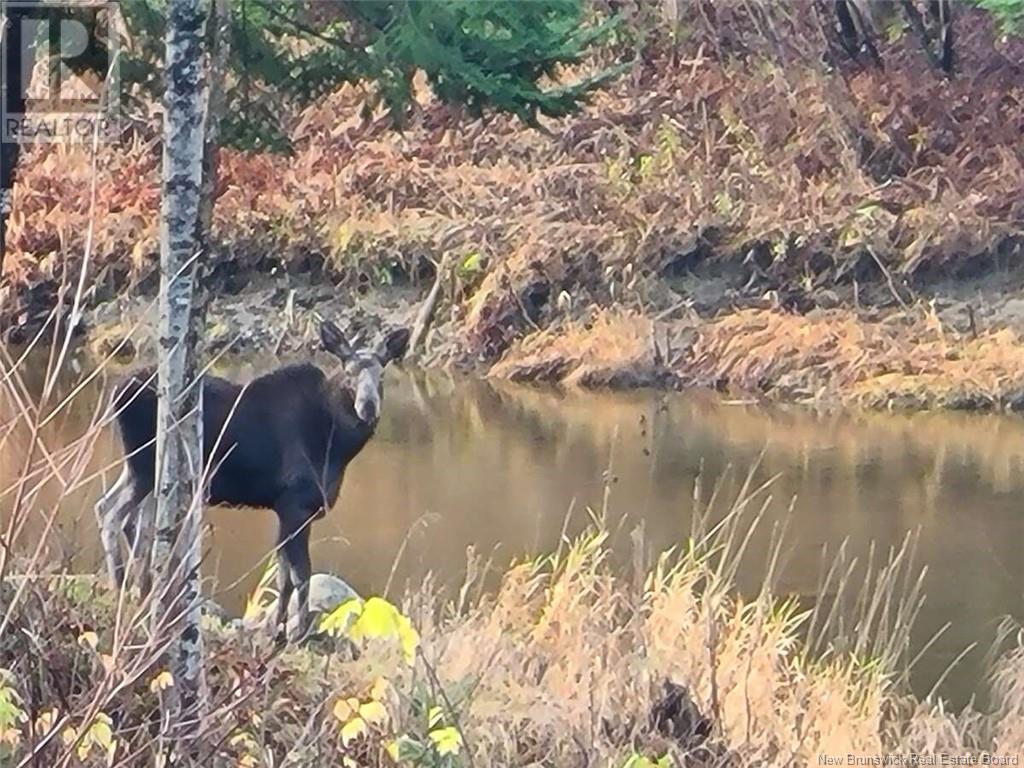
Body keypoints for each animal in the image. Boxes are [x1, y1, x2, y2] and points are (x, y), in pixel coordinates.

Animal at [95, 319, 411, 643]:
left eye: (382, 374)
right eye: (349, 374)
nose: (368, 407)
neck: (335, 446)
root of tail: (117, 391)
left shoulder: (287, 509)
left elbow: (283, 576)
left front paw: (279, 631)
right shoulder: (295, 504)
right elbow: (300, 574)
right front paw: (298, 632)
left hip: (141, 472)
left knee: (120, 514)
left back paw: (139, 590)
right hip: (144, 467)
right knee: (116, 514)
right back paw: (121, 587)